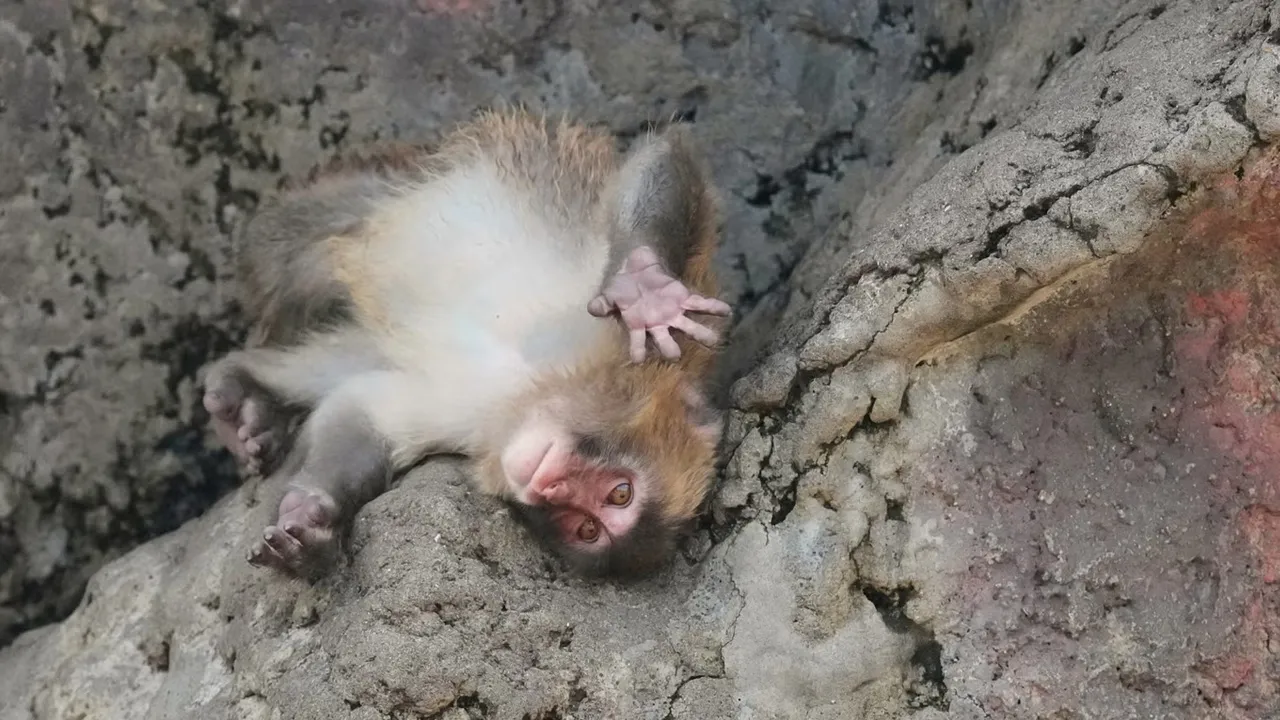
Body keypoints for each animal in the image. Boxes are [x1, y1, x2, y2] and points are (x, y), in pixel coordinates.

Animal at [201, 110, 732, 578]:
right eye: (620, 493)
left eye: (587, 527)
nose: (551, 488)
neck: (537, 385)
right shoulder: (642, 346)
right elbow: (664, 155)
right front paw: (644, 289)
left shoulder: (472, 429)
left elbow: (363, 412)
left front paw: (312, 521)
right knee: (296, 244)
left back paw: (250, 395)